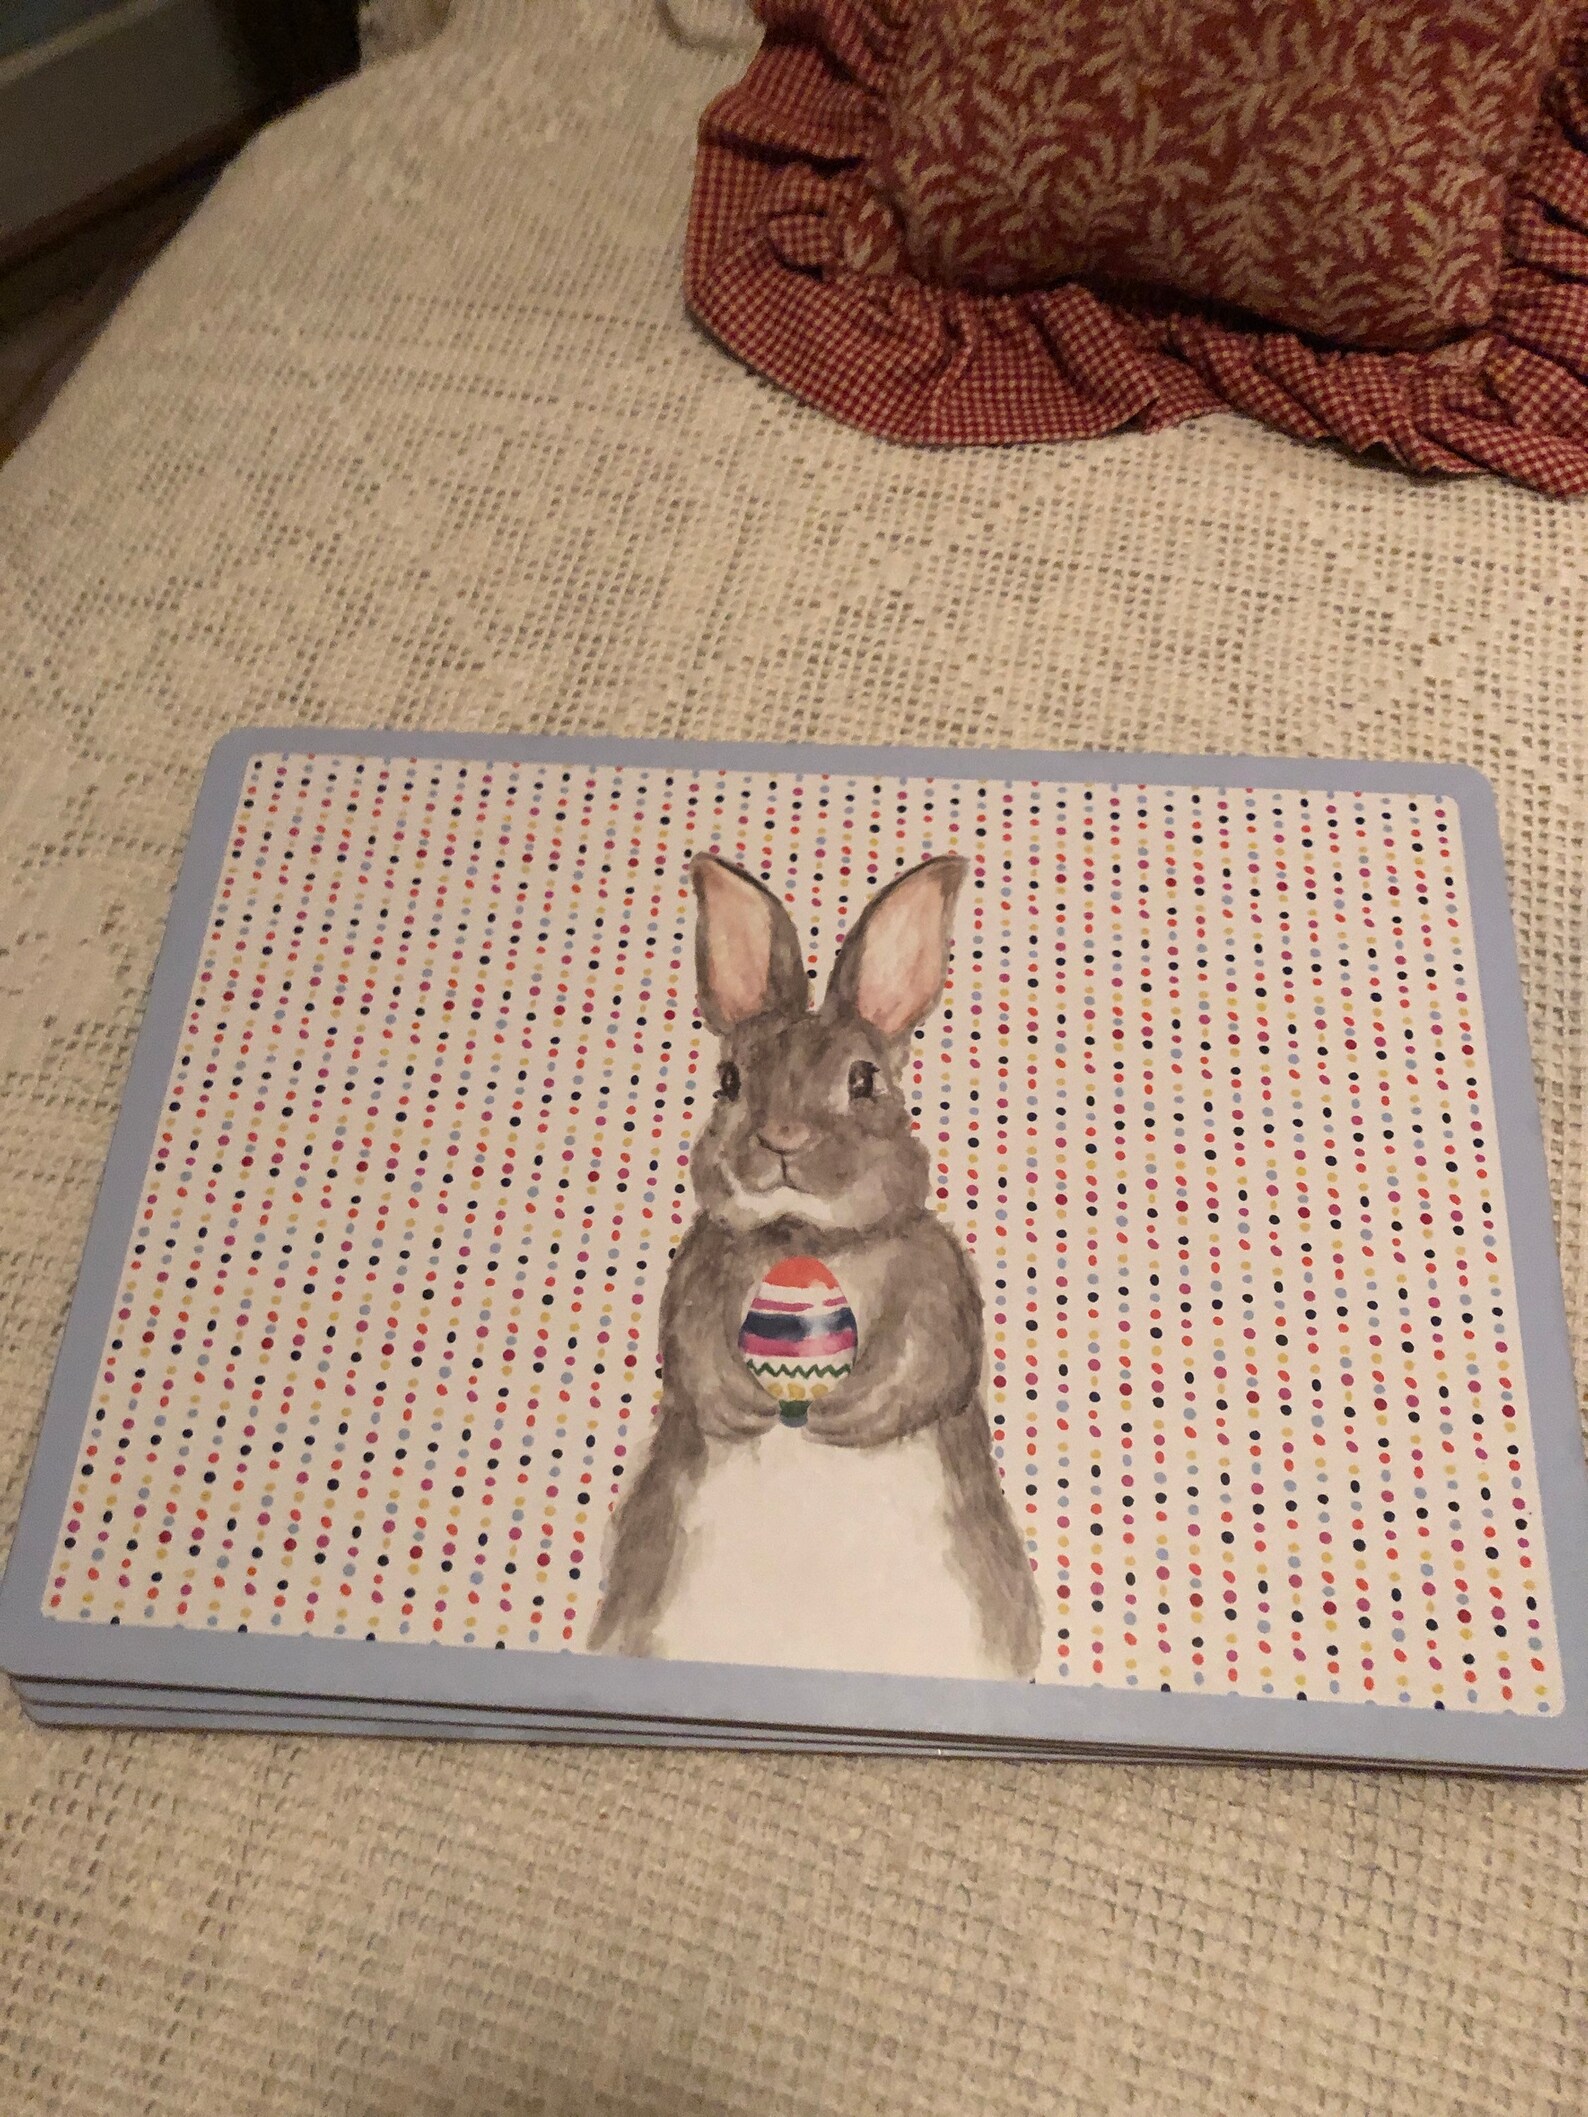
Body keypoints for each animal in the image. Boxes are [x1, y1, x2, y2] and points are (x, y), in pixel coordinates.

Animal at [589, 851, 1042, 1682]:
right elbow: (690, 1346)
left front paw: (844, 1415)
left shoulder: (936, 1284)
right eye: (730, 1082)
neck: (804, 1236)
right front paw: (742, 1406)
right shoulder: (698, 1274)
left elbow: (929, 1358)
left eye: (864, 1080)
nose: (782, 1140)